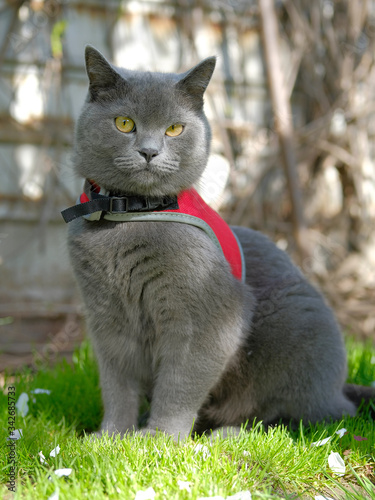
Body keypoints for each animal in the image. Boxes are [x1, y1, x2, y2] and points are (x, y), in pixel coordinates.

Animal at [64, 45, 374, 440]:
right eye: (124, 123)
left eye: (174, 128)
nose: (149, 151)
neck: (129, 216)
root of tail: (341, 390)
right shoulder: (106, 317)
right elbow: (116, 384)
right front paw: (111, 437)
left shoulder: (207, 320)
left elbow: (180, 383)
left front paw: (158, 439)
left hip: (299, 328)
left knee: (301, 420)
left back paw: (227, 435)